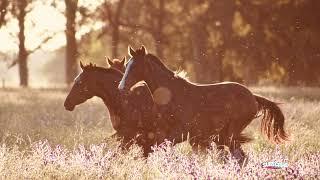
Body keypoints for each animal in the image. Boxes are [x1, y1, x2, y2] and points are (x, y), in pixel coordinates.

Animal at [119, 46, 288, 165]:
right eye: (127, 65)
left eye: (135, 67)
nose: (121, 87)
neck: (173, 96)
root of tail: (253, 97)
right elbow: (150, 148)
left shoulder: (180, 133)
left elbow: (157, 148)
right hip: (224, 137)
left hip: (231, 134)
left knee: (239, 158)